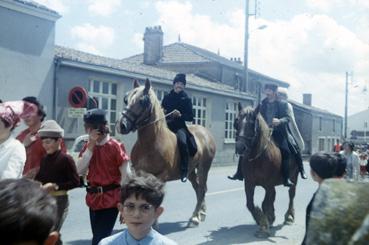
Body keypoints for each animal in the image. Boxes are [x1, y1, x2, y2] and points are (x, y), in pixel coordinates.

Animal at [115, 78, 216, 226]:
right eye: (126, 99)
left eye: (142, 101)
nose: (121, 125)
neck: (151, 143)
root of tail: (206, 133)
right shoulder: (139, 173)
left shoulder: (161, 176)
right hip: (191, 171)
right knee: (198, 189)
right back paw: (200, 213)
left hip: (203, 168)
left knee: (202, 189)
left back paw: (195, 217)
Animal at [234, 103, 298, 237]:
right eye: (237, 122)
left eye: (252, 123)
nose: (240, 148)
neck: (259, 157)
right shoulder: (249, 183)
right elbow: (250, 204)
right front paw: (263, 220)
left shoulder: (268, 184)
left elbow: (265, 203)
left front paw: (264, 224)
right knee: (273, 197)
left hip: (294, 177)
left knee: (291, 194)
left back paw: (289, 216)